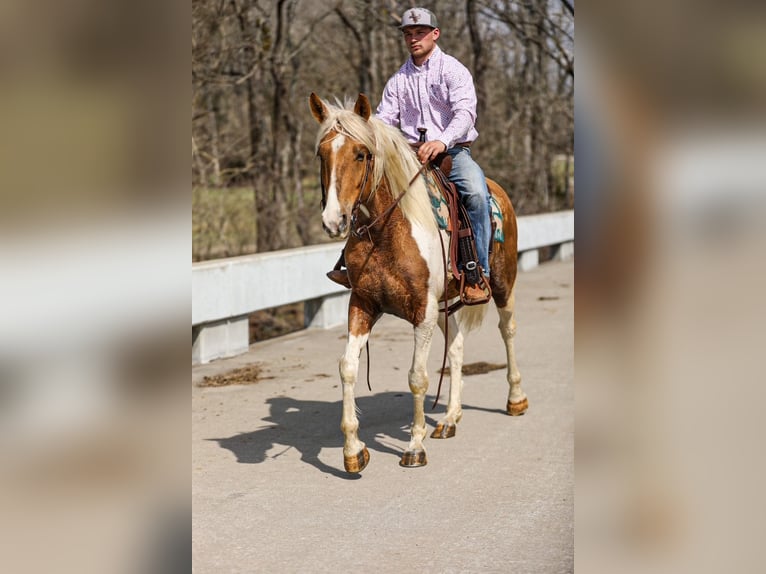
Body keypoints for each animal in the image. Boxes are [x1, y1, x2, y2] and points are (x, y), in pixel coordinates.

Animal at [309, 92, 527, 473]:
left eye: (361, 154)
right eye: (322, 154)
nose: (334, 221)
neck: (387, 232)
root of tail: (498, 191)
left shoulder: (422, 312)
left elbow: (417, 377)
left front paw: (414, 446)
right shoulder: (362, 304)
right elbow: (347, 367)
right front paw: (353, 450)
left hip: (502, 284)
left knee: (508, 330)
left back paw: (515, 399)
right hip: (445, 304)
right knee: (456, 347)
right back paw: (450, 418)